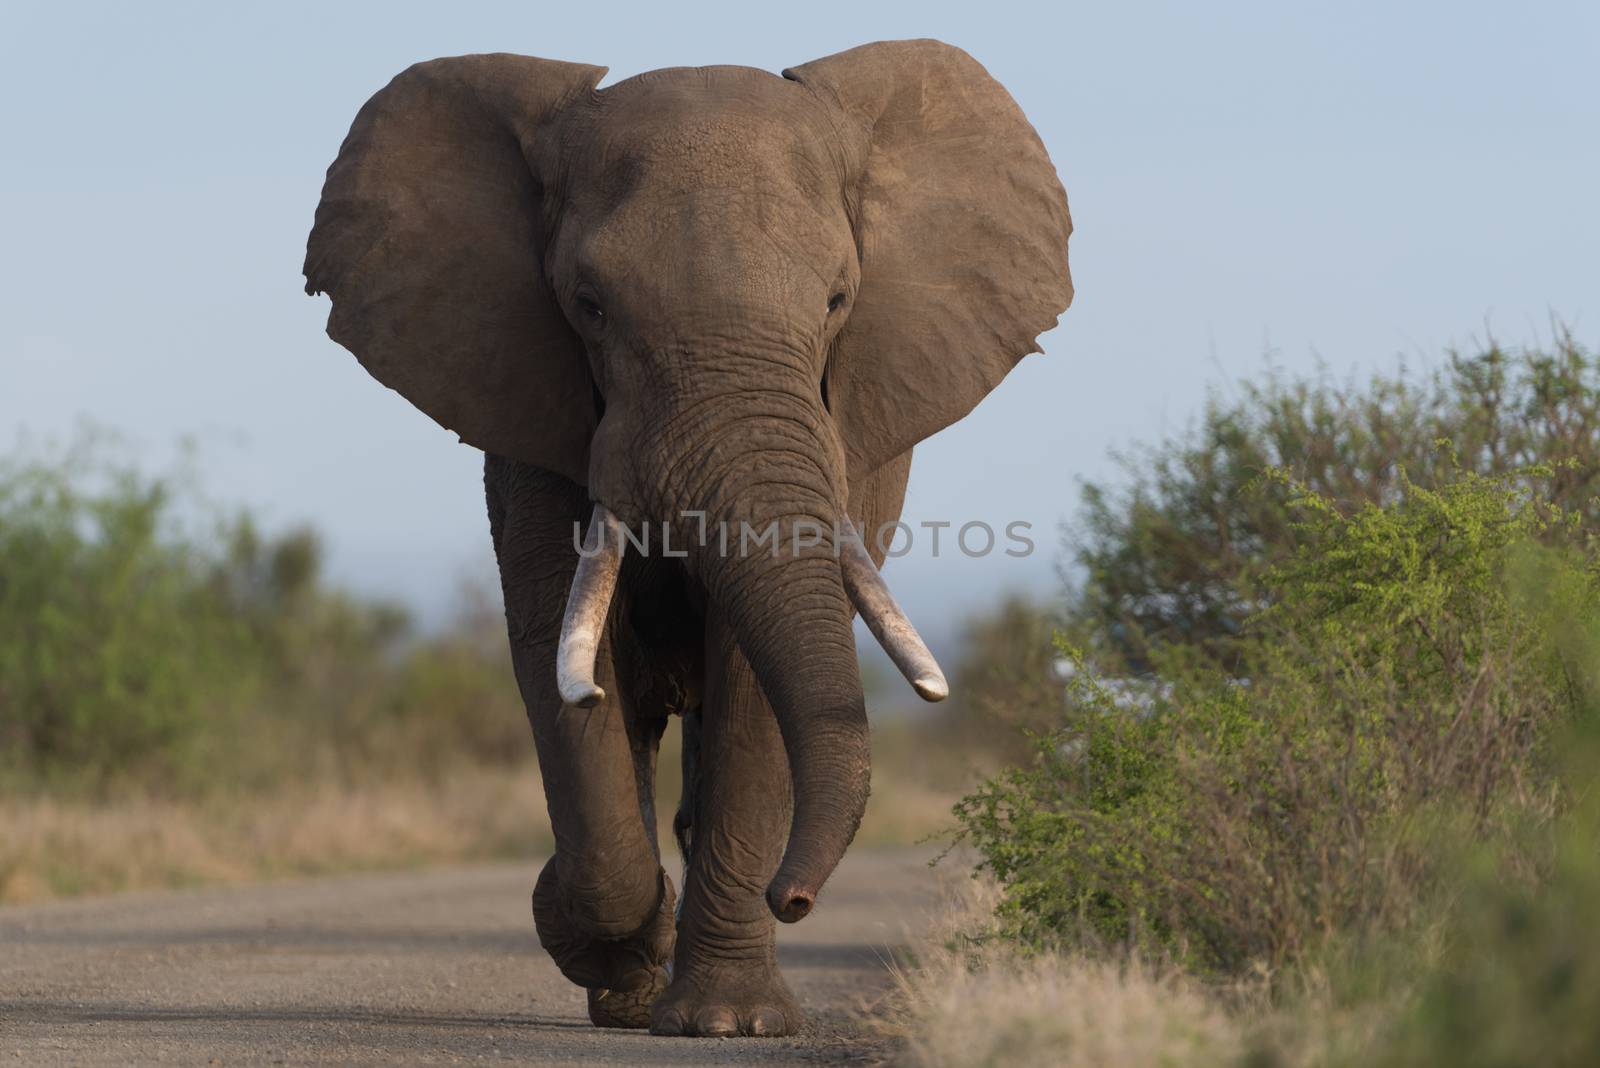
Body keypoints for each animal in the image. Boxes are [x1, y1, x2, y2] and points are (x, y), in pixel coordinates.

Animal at [302, 39, 1075, 1036]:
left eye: (837, 300)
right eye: (588, 305)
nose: (796, 897)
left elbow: (751, 669)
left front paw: (728, 1023)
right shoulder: (531, 405)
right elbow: (560, 651)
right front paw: (607, 946)